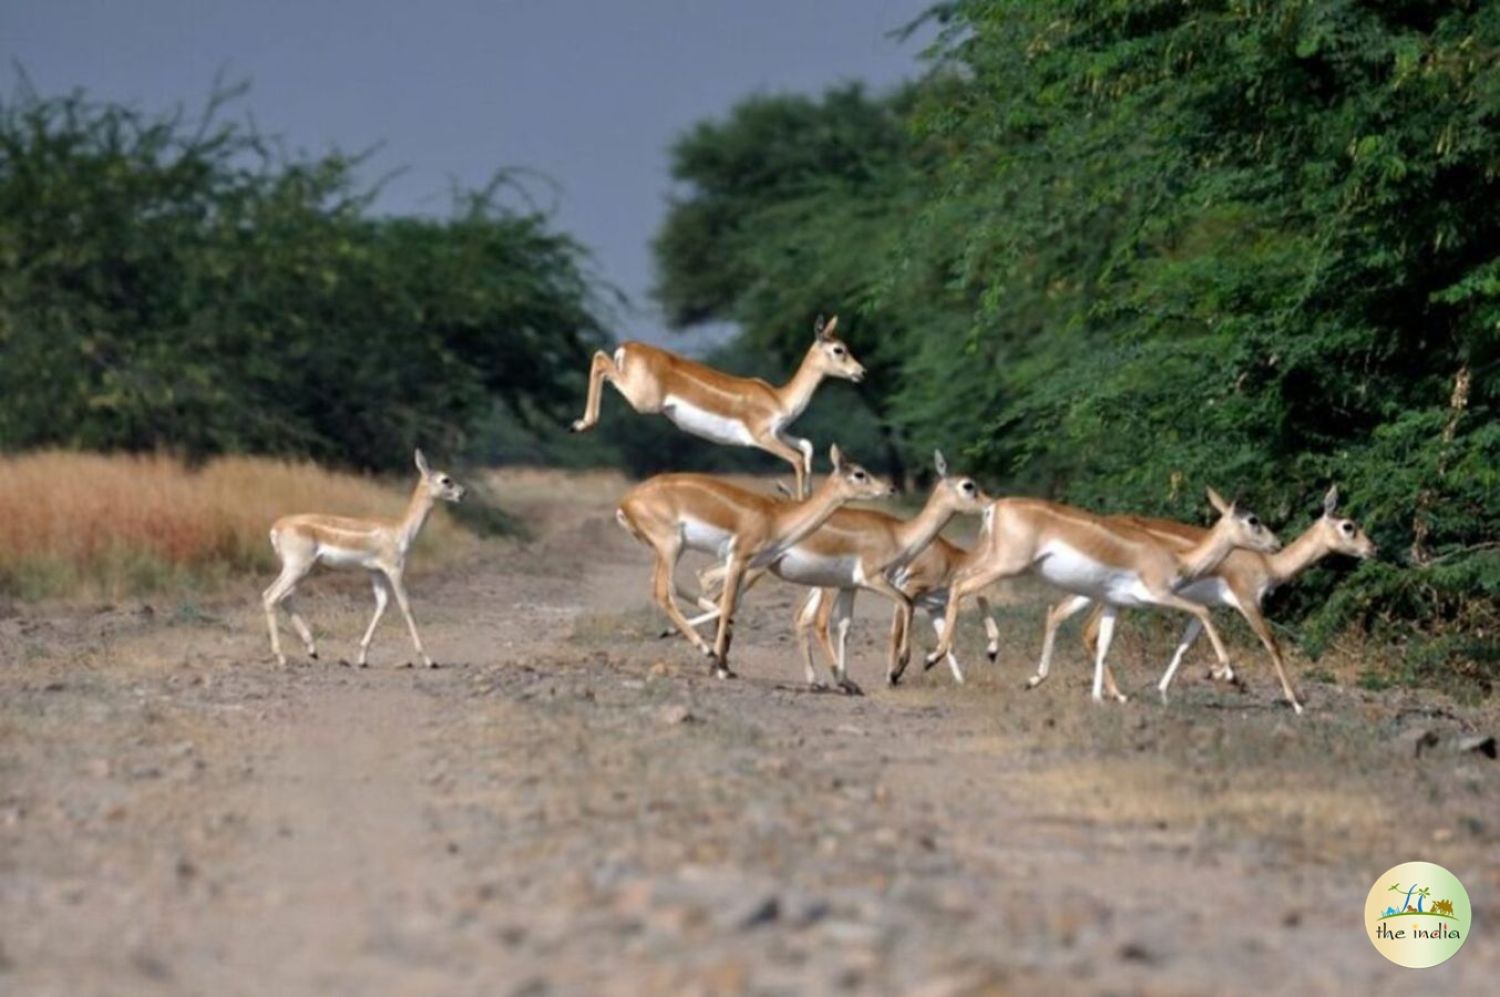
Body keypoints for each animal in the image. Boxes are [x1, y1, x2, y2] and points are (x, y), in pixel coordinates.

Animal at [264, 449, 462, 668]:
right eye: (446, 480)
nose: (463, 493)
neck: (399, 530)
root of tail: (276, 527)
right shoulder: (395, 569)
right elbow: (405, 605)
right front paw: (428, 659)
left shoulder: (375, 571)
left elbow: (382, 604)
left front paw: (362, 658)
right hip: (297, 567)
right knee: (271, 596)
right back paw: (281, 657)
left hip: (303, 569)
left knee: (285, 597)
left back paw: (313, 650)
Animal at [567, 313, 864, 494]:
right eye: (839, 349)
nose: (861, 372)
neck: (779, 398)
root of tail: (627, 347)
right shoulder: (762, 437)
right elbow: (798, 459)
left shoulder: (780, 433)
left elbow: (807, 446)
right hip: (642, 400)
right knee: (600, 360)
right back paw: (581, 424)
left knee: (599, 357)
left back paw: (579, 424)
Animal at [615, 443, 894, 677]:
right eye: (859, 473)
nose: (889, 489)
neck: (776, 518)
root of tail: (626, 502)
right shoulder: (739, 558)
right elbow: (728, 604)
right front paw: (720, 666)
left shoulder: (747, 564)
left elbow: (730, 606)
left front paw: (722, 662)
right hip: (670, 547)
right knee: (662, 592)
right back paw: (705, 649)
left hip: (672, 550)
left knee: (670, 586)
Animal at [924, 488, 1278, 698]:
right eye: (1253, 520)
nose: (1275, 545)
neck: (1177, 559)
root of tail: (994, 508)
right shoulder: (1160, 595)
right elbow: (1203, 611)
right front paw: (1227, 673)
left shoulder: (1113, 604)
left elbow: (1104, 643)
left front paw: (1100, 697)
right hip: (1006, 565)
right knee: (961, 587)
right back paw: (934, 657)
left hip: (993, 562)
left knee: (959, 585)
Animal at [1038, 482, 1374, 710]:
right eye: (1349, 526)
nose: (1373, 548)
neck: (1267, 564)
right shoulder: (1248, 603)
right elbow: (1272, 644)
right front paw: (1295, 702)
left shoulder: (1207, 608)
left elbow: (1184, 647)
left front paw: (1165, 690)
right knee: (1087, 629)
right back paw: (1112, 693)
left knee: (1062, 614)